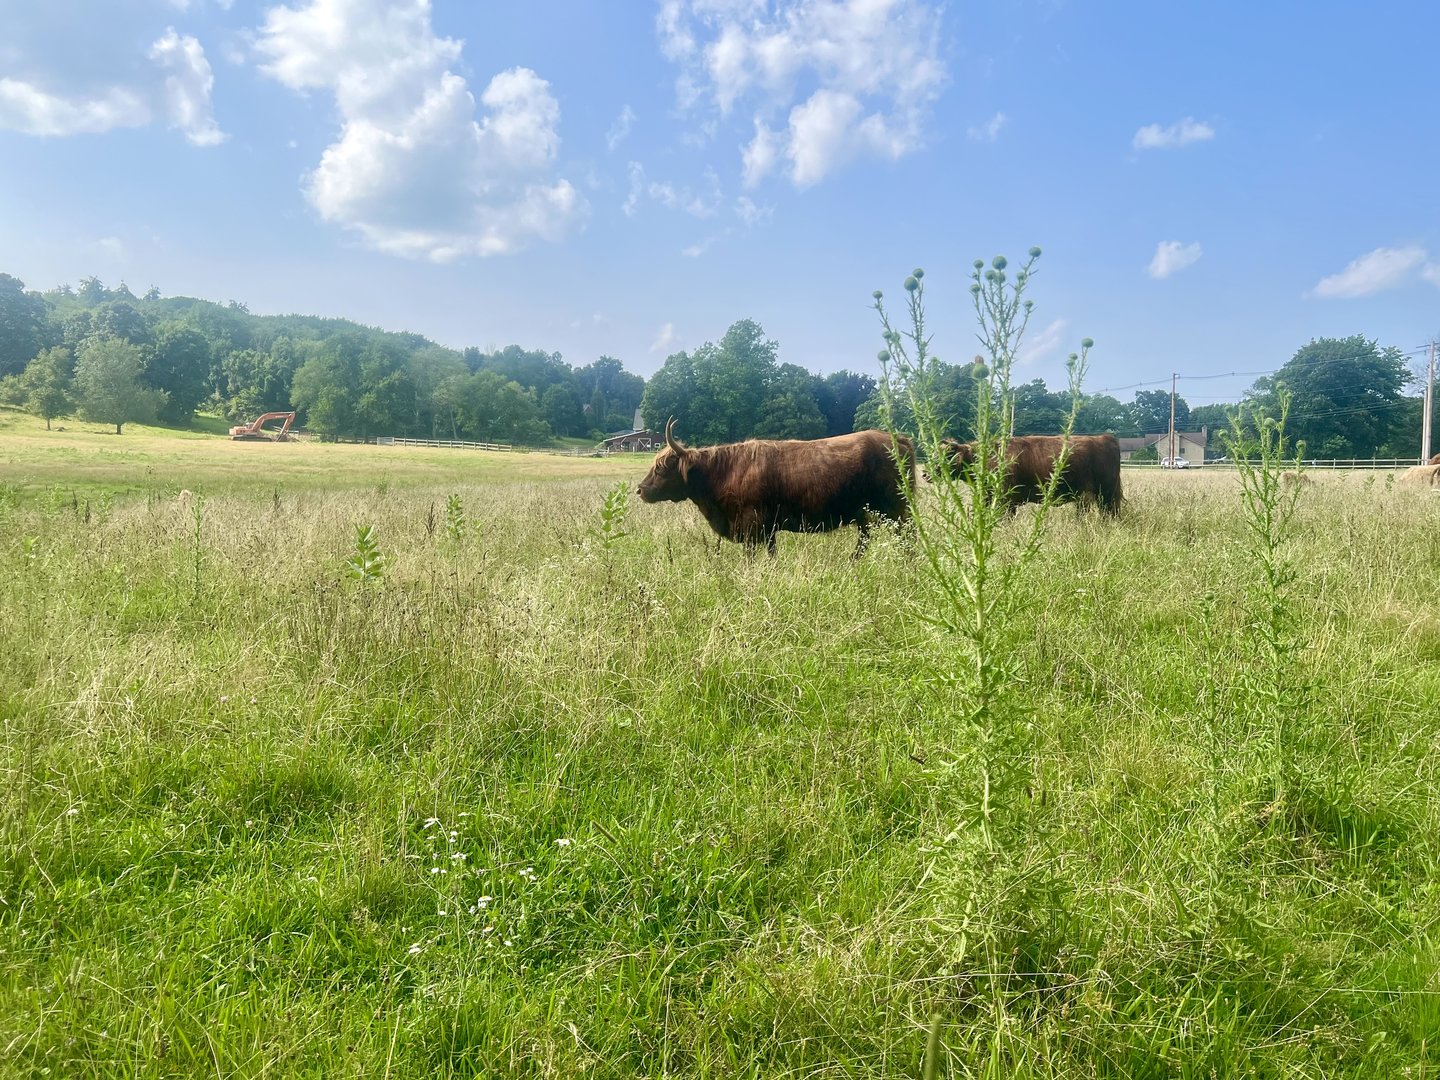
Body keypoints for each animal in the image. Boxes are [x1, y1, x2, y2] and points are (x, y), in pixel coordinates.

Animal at [636, 420, 916, 556]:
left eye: (661, 468)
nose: (640, 489)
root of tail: (897, 439)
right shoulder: (768, 528)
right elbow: (772, 555)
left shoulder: (751, 523)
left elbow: (751, 556)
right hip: (867, 514)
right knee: (865, 541)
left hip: (897, 511)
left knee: (908, 539)